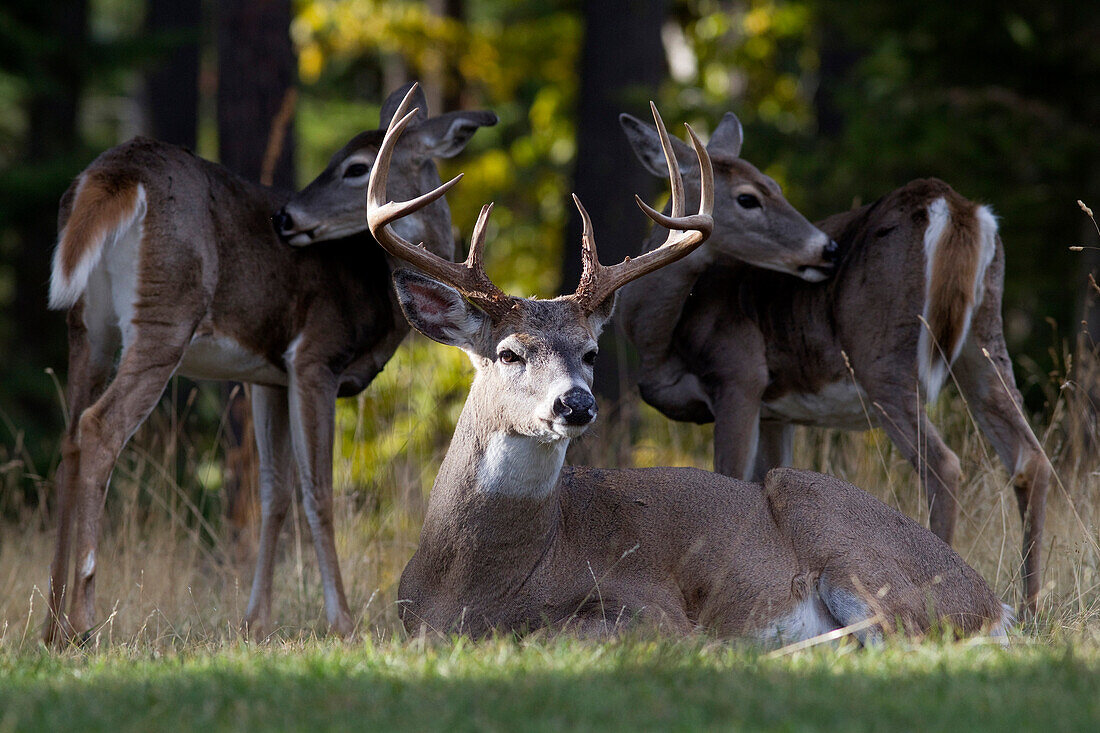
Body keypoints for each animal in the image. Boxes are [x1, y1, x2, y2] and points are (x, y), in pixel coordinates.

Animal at [38, 81, 495, 647]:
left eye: (356, 166)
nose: (286, 219)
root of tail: (114, 172)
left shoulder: (267, 377)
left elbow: (273, 492)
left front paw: (255, 621)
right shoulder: (315, 357)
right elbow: (317, 491)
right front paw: (342, 622)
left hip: (87, 327)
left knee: (69, 437)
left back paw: (51, 627)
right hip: (165, 312)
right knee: (98, 428)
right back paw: (83, 622)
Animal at [365, 86, 1007, 638]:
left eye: (591, 352)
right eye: (507, 352)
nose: (576, 404)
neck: (474, 581)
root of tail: (992, 601)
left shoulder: (651, 604)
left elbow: (577, 630)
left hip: (840, 525)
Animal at [616, 108, 1051, 611]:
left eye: (773, 185)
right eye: (748, 197)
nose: (827, 250)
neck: (657, 334)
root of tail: (954, 205)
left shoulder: (738, 375)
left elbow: (728, 476)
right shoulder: (775, 411)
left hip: (882, 357)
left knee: (943, 465)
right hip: (983, 340)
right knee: (1030, 458)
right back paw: (1031, 606)